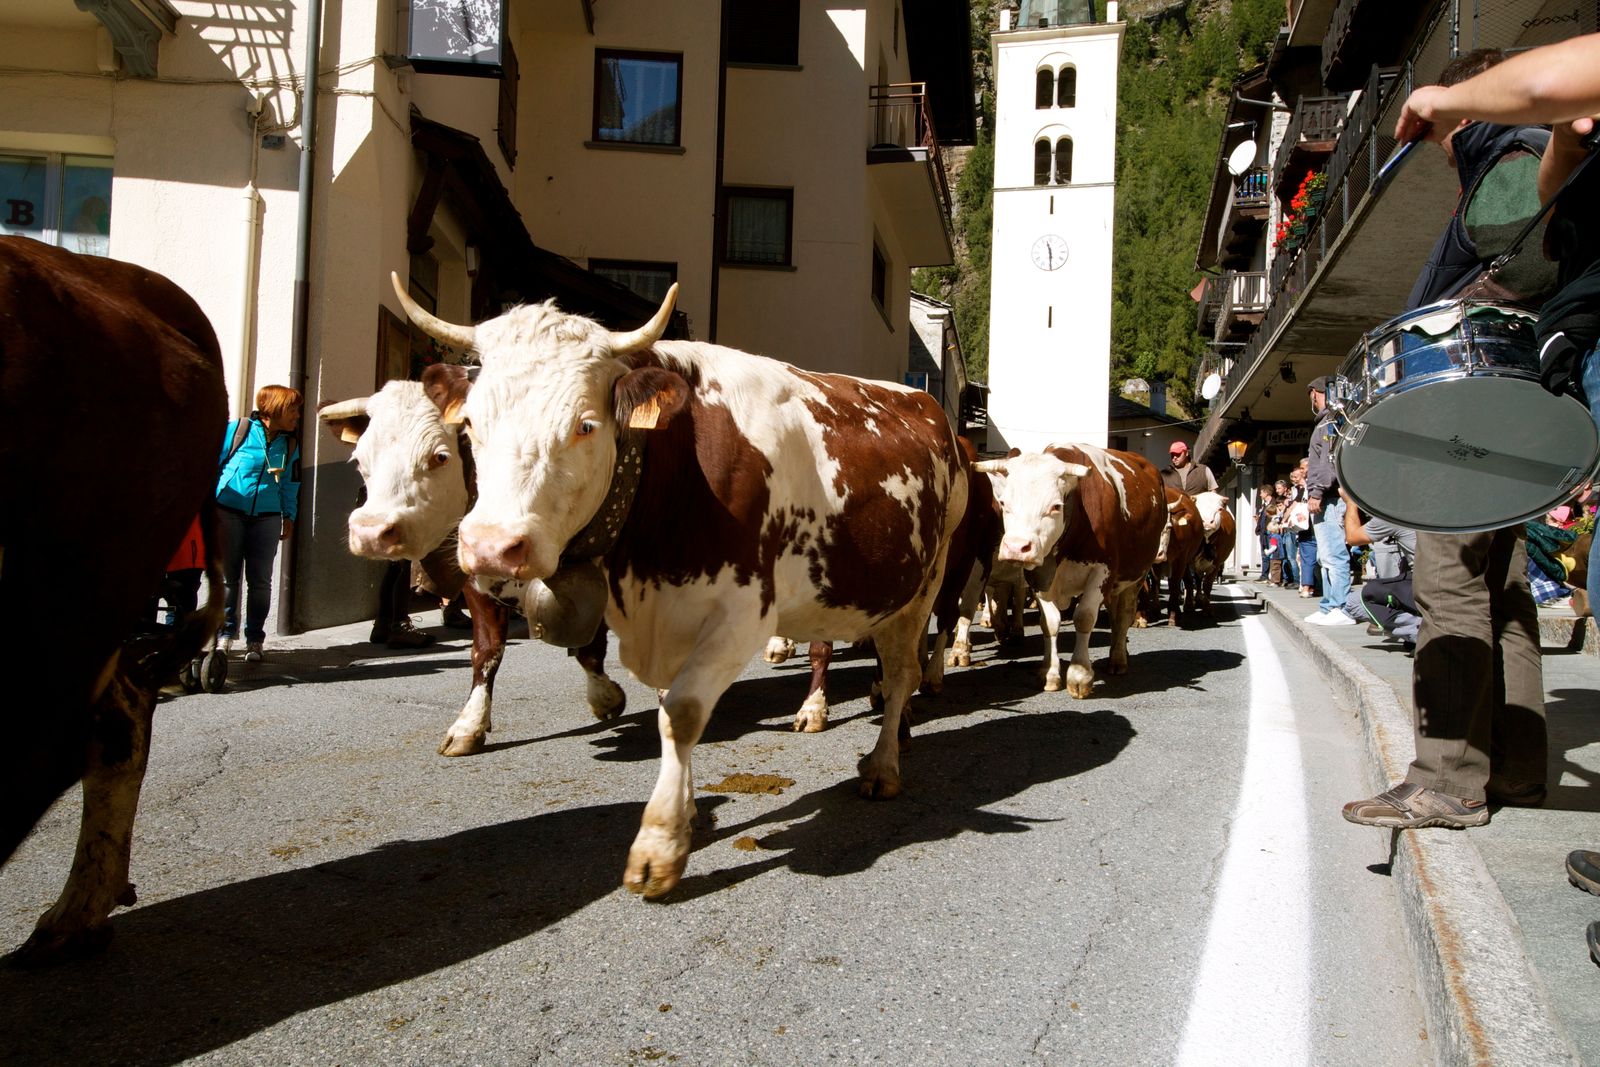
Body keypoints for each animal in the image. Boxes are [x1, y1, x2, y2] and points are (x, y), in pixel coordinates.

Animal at [318, 371, 624, 755]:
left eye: (439, 457)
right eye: (360, 460)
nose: (371, 532)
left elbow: (590, 644)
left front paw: (606, 697)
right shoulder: (477, 580)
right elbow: (486, 650)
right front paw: (469, 725)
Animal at [393, 278, 966, 902]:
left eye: (585, 425)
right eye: (470, 425)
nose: (492, 547)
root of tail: (921, 402)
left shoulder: (742, 615)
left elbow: (684, 714)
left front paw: (659, 846)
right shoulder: (666, 616)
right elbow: (667, 709)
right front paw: (687, 812)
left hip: (926, 579)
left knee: (905, 668)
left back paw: (885, 763)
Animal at [972, 447, 1164, 697]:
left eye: (1055, 506)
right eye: (1003, 502)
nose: (1016, 548)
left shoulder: (1102, 572)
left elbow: (1084, 618)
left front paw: (1079, 675)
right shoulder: (1039, 577)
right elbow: (1050, 623)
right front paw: (1050, 673)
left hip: (1135, 577)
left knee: (1123, 615)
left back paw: (1118, 659)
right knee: (1114, 616)